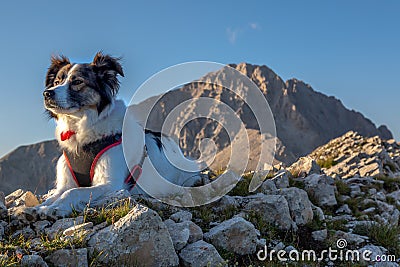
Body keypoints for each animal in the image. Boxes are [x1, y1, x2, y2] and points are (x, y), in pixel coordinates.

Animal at [36, 51, 202, 218]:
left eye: (77, 81)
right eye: (56, 82)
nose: (46, 93)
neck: (82, 128)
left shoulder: (111, 185)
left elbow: (73, 192)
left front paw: (56, 208)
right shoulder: (65, 183)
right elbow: (55, 195)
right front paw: (37, 208)